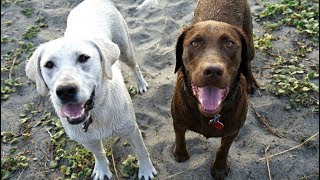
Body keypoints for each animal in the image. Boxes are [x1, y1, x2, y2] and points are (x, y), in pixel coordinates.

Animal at [25, 0, 158, 179]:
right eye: (49, 64)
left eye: (83, 58)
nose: (65, 90)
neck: (95, 112)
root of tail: (91, 1)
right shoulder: (87, 140)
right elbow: (99, 155)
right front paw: (102, 170)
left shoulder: (131, 130)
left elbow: (141, 151)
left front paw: (146, 170)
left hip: (124, 48)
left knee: (134, 66)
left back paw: (141, 84)